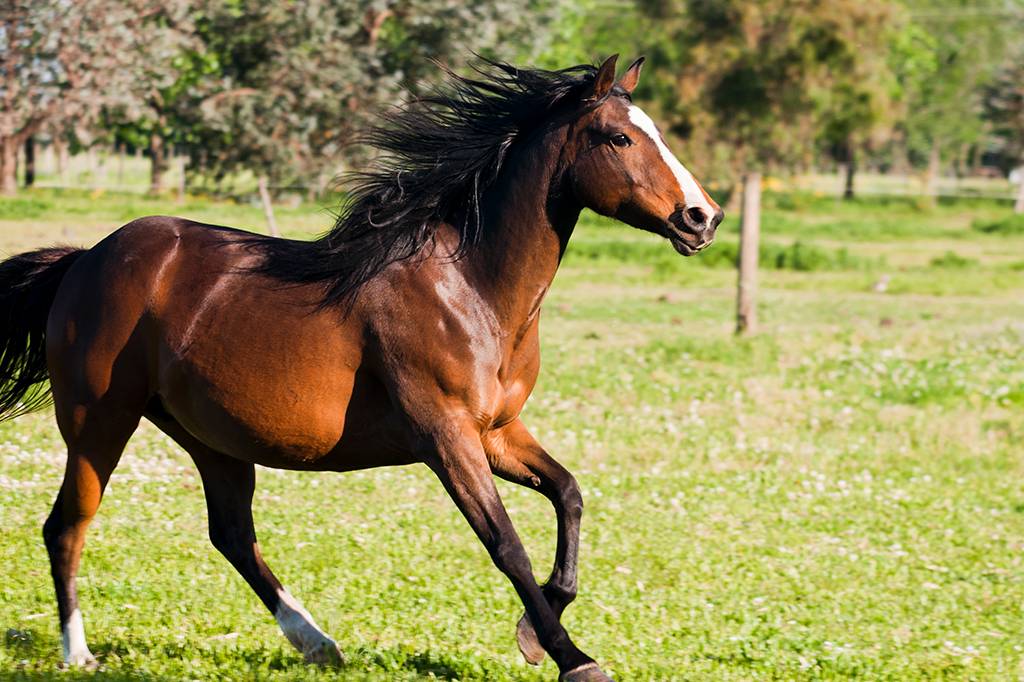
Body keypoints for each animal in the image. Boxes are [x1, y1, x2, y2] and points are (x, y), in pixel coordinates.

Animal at [0, 55, 721, 681]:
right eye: (619, 137)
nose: (702, 218)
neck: (469, 287)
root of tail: (85, 259)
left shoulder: (496, 432)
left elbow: (569, 495)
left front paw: (536, 631)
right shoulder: (446, 437)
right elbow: (506, 544)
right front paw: (571, 656)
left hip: (210, 438)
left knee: (232, 535)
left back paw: (316, 643)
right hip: (99, 423)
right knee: (66, 526)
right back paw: (78, 653)